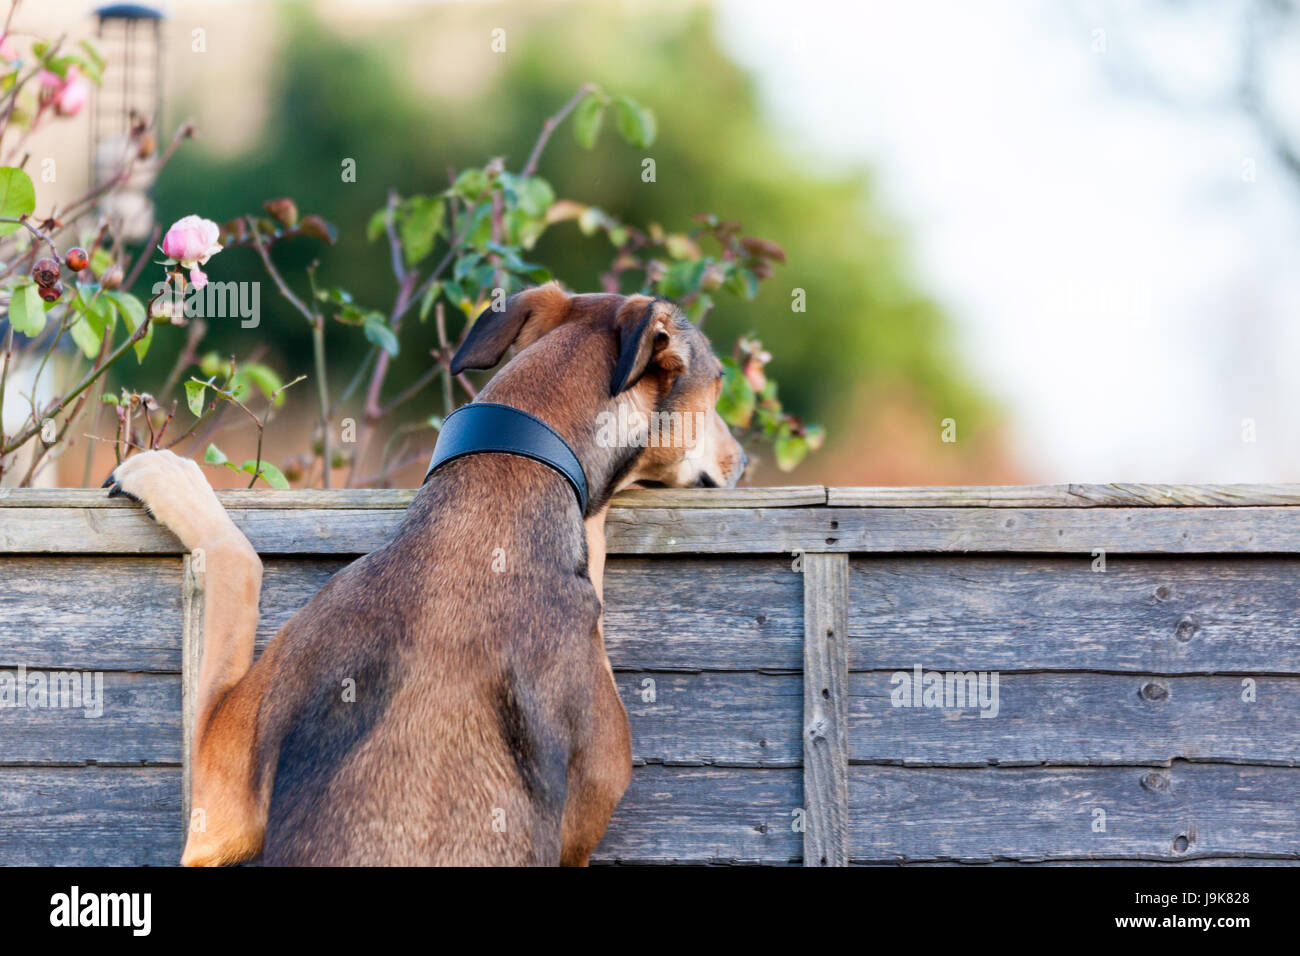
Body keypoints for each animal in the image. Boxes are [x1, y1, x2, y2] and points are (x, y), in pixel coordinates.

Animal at [106, 286, 748, 868]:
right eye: (718, 386)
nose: (742, 460)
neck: (509, 468)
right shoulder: (218, 799)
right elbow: (239, 556)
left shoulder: (220, 803)